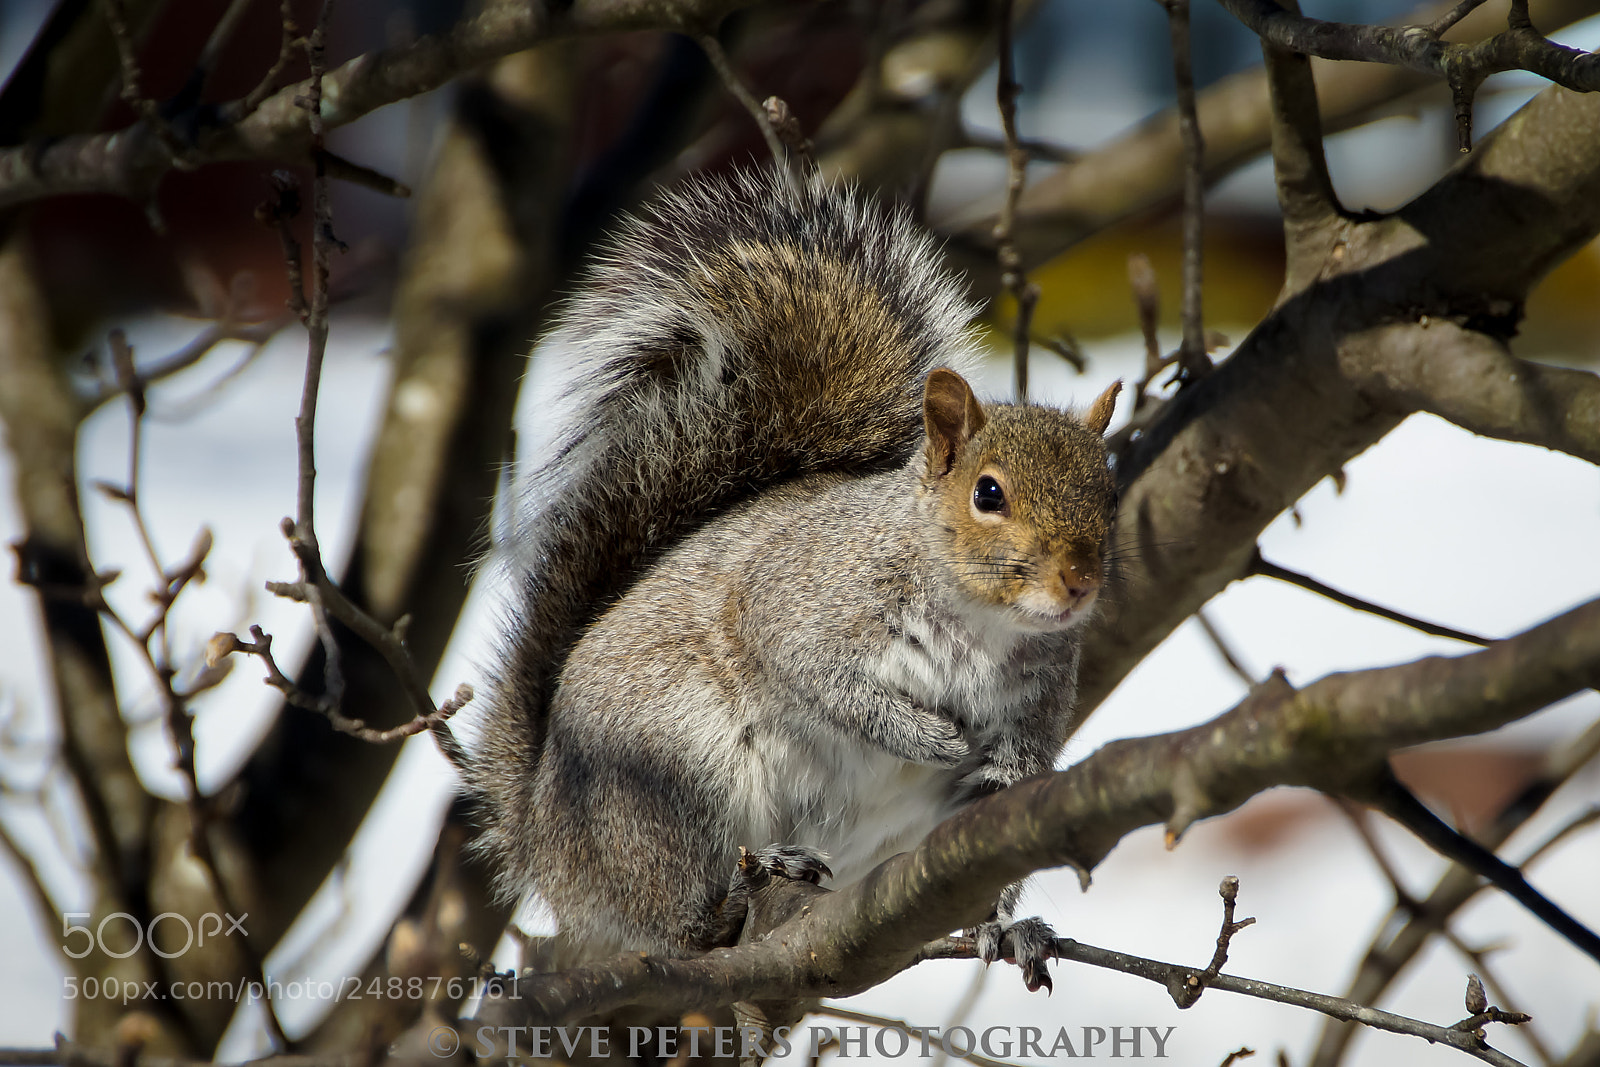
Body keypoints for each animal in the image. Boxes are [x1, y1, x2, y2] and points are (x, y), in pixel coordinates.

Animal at [465, 168, 1121, 990]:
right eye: (988, 493)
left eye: (1110, 491)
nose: (1077, 581)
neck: (984, 624)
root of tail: (541, 840)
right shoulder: (797, 600)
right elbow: (818, 677)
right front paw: (925, 735)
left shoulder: (1025, 735)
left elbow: (997, 832)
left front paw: (1008, 925)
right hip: (668, 781)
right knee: (673, 923)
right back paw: (743, 887)